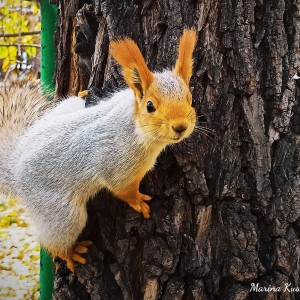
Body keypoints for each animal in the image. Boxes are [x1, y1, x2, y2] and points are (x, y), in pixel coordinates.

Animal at [0, 29, 197, 270]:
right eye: (150, 106)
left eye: (190, 99)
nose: (180, 127)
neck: (133, 124)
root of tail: (13, 169)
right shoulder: (116, 164)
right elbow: (122, 189)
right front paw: (138, 202)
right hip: (60, 213)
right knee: (54, 240)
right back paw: (70, 253)